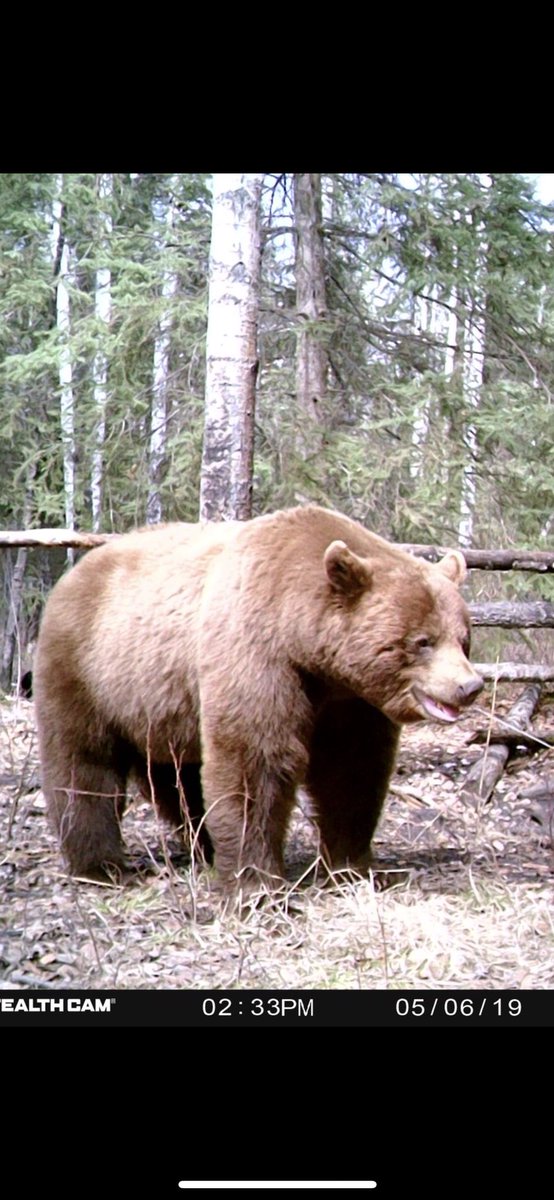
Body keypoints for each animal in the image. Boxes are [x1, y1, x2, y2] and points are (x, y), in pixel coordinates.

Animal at [33, 504, 484, 894]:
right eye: (422, 641)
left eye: (463, 638)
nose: (469, 686)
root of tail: (74, 573)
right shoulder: (259, 653)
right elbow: (256, 758)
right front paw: (256, 884)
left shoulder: (350, 700)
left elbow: (352, 769)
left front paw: (352, 866)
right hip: (88, 669)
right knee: (84, 764)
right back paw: (100, 865)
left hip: (159, 706)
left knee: (180, 779)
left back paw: (204, 846)